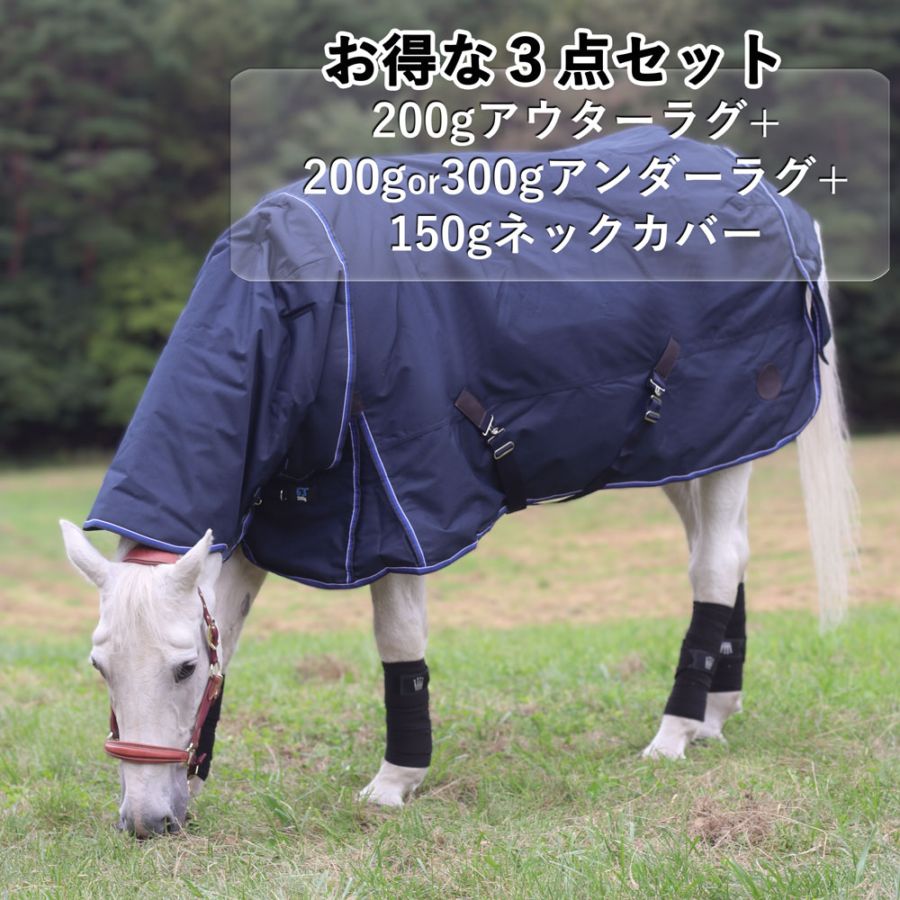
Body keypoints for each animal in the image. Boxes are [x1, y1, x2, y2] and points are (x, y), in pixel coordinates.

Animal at [61, 131, 857, 837]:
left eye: (182, 668)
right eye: (100, 667)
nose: (145, 822)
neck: (308, 315)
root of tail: (777, 203)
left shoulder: (397, 515)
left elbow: (397, 642)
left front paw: (394, 782)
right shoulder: (259, 519)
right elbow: (234, 633)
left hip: (727, 442)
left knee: (715, 564)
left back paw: (675, 731)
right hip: (688, 453)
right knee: (726, 556)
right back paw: (715, 716)